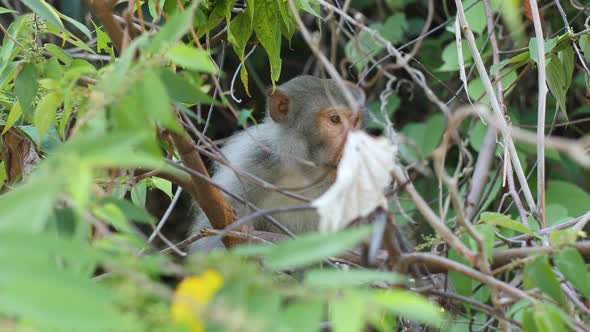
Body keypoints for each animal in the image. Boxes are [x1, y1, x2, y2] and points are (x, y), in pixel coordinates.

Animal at [190, 75, 366, 252]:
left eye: (356, 121)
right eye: (335, 119)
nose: (356, 143)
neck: (304, 173)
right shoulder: (249, 166)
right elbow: (214, 242)